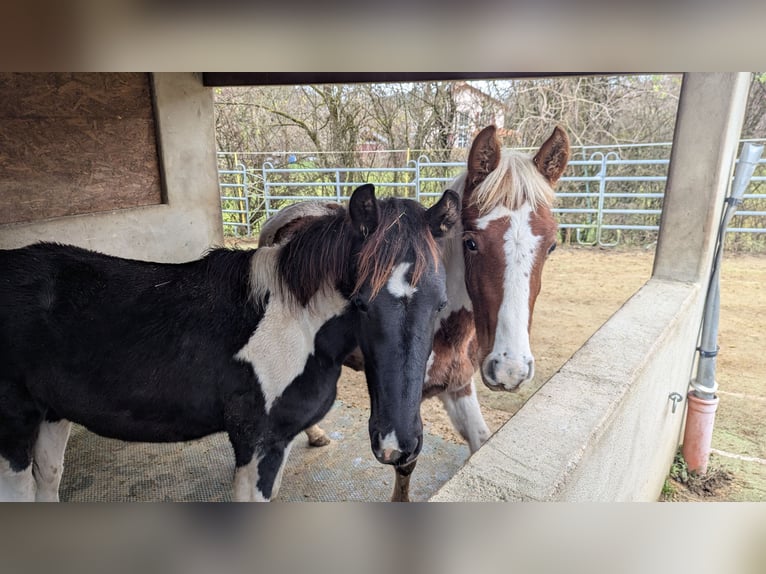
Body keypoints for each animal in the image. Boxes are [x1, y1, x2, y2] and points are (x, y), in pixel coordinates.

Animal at [0, 183, 460, 501]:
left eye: (440, 303)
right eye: (362, 302)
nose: (397, 447)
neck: (295, 324)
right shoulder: (256, 445)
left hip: (53, 415)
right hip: (14, 432)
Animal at [262, 126, 570, 501]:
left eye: (551, 245)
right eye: (471, 242)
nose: (509, 369)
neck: (447, 331)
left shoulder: (459, 386)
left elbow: (481, 443)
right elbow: (405, 465)